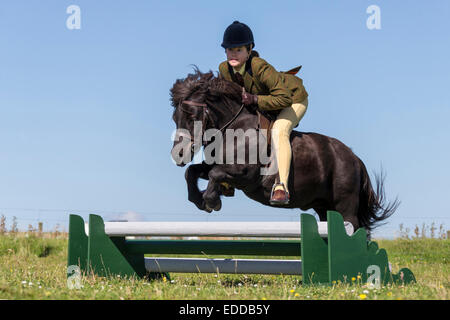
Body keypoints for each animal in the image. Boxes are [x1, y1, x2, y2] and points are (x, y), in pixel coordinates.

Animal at [169, 69, 398, 234]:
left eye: (192, 116)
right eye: (175, 117)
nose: (177, 155)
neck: (235, 128)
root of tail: (354, 158)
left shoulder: (246, 175)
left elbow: (216, 174)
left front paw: (211, 201)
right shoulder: (216, 166)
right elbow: (192, 172)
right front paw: (200, 199)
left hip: (344, 205)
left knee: (355, 228)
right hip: (324, 207)